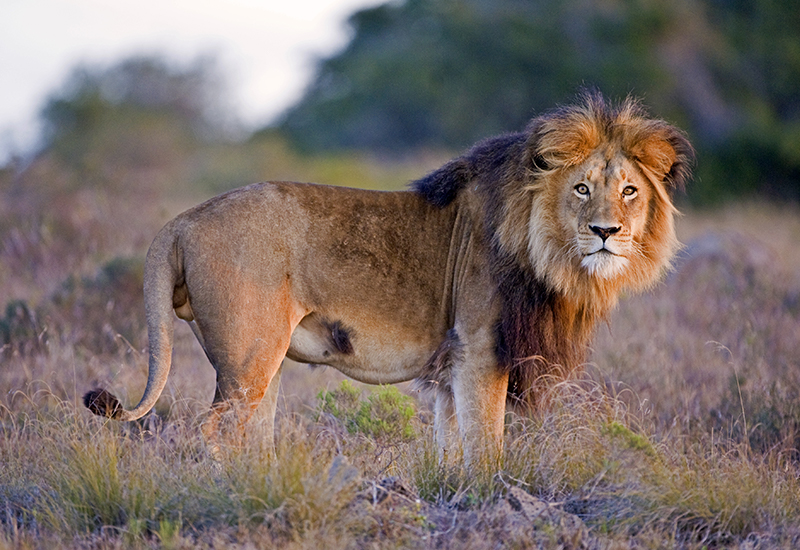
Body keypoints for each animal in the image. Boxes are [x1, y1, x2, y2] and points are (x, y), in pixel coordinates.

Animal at [84, 94, 692, 466]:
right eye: (582, 188)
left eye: (629, 191)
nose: (606, 231)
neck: (550, 255)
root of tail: (183, 219)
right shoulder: (480, 351)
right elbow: (487, 448)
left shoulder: (451, 365)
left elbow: (452, 447)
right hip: (249, 352)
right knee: (214, 430)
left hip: (262, 362)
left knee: (253, 438)